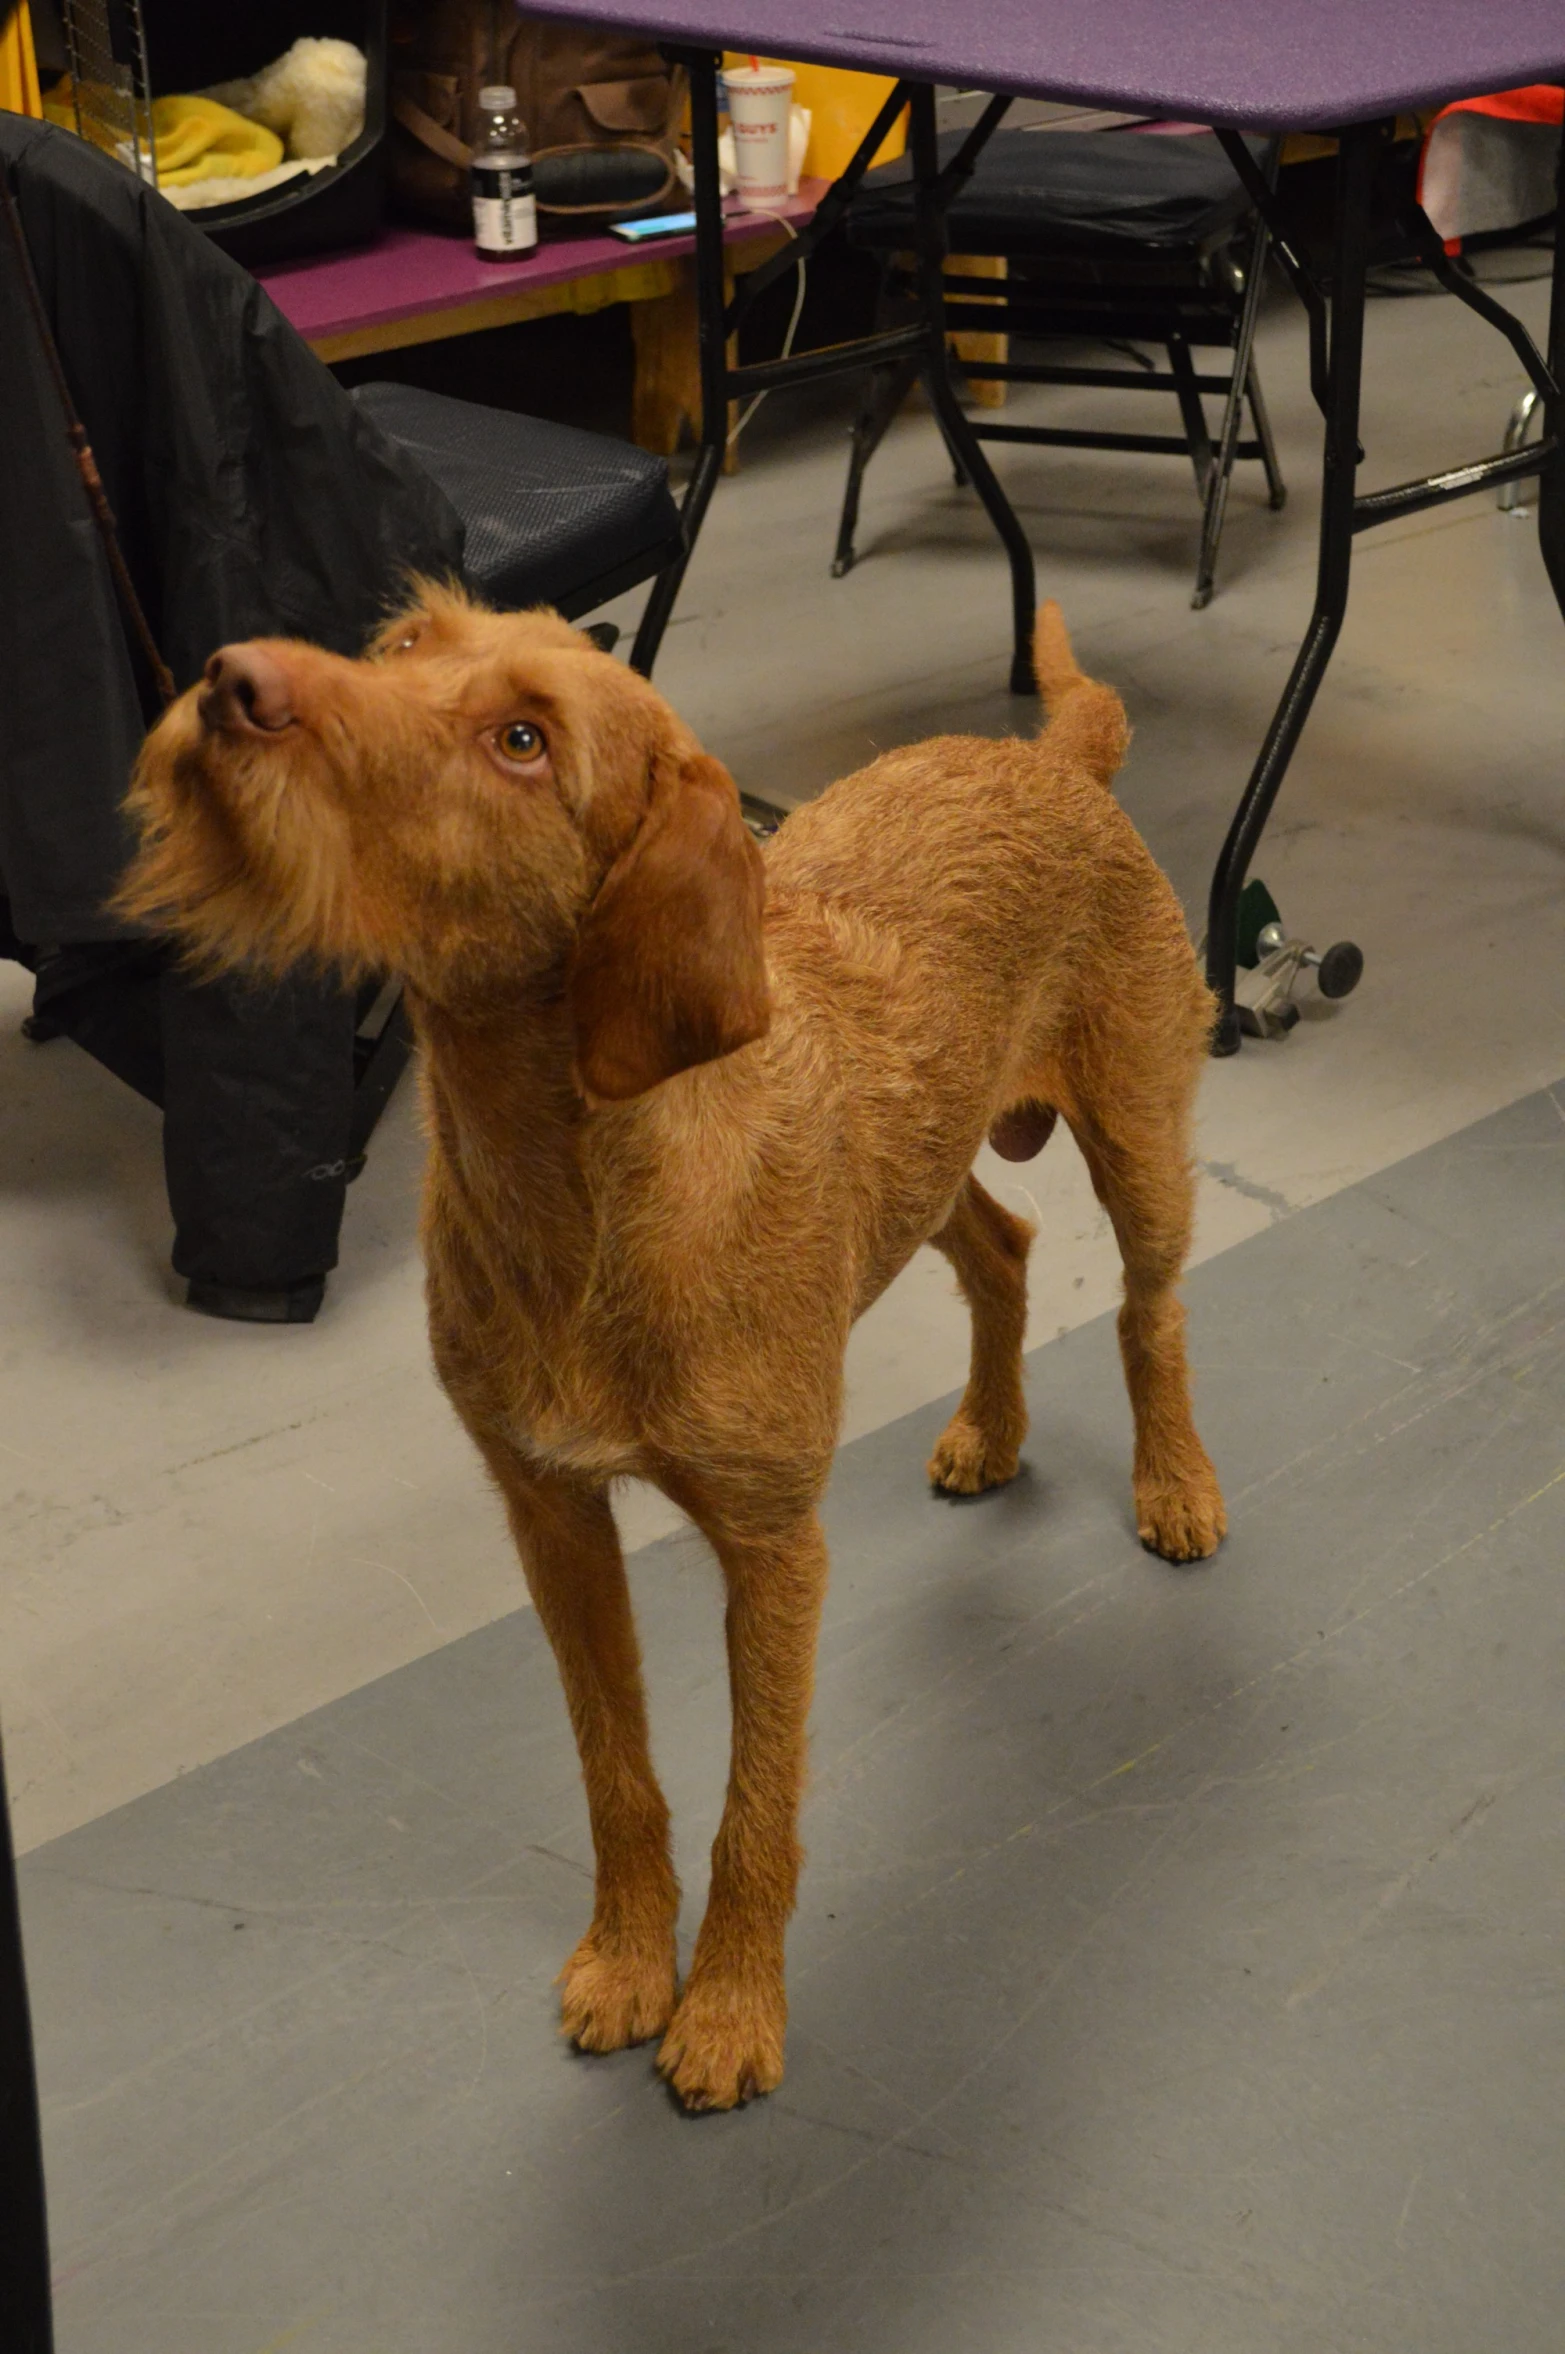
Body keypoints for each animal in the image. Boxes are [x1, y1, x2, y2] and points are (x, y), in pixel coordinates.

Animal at [118, 588, 1223, 2118]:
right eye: (401, 643)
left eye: (523, 741)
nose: (232, 681)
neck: (571, 1180)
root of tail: (1052, 757)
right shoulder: (552, 1516)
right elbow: (618, 1772)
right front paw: (633, 1961)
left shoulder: (771, 1547)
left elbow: (755, 1806)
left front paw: (733, 2011)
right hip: (924, 1167)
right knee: (1002, 1249)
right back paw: (990, 1431)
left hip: (1138, 1133)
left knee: (1145, 1309)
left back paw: (1174, 1482)